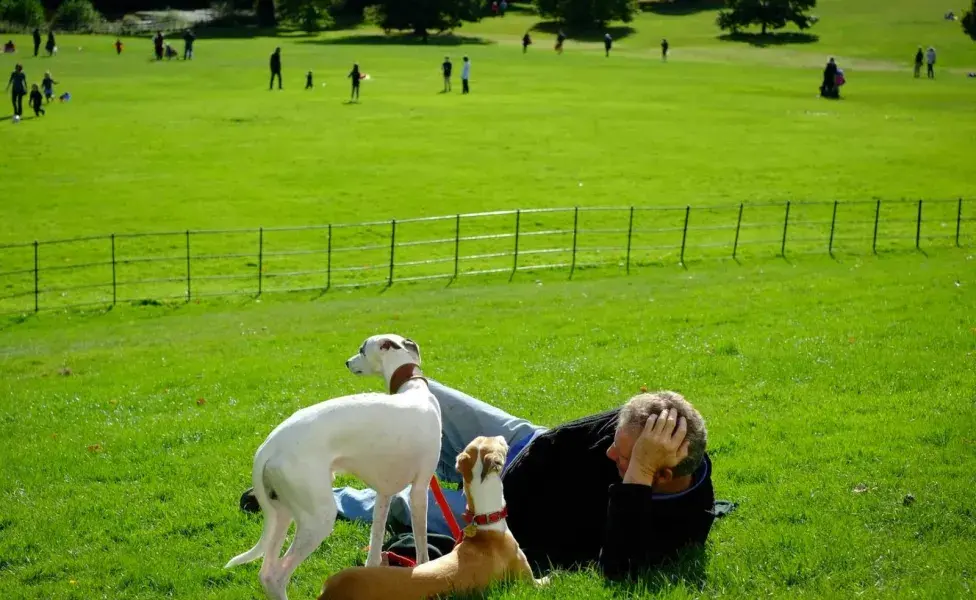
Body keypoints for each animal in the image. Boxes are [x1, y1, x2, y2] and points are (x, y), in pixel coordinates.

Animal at [225, 332, 442, 600]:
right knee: (277, 575)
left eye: (362, 350)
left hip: (281, 512)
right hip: (318, 517)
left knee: (265, 573)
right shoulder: (420, 490)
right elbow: (422, 548)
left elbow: (374, 550)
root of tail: (269, 445)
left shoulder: (383, 493)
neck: (413, 390)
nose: (347, 362)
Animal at [322, 436, 544, 600]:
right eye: (496, 442)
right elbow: (545, 579)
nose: (504, 437)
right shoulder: (529, 581)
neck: (486, 523)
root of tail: (328, 592)